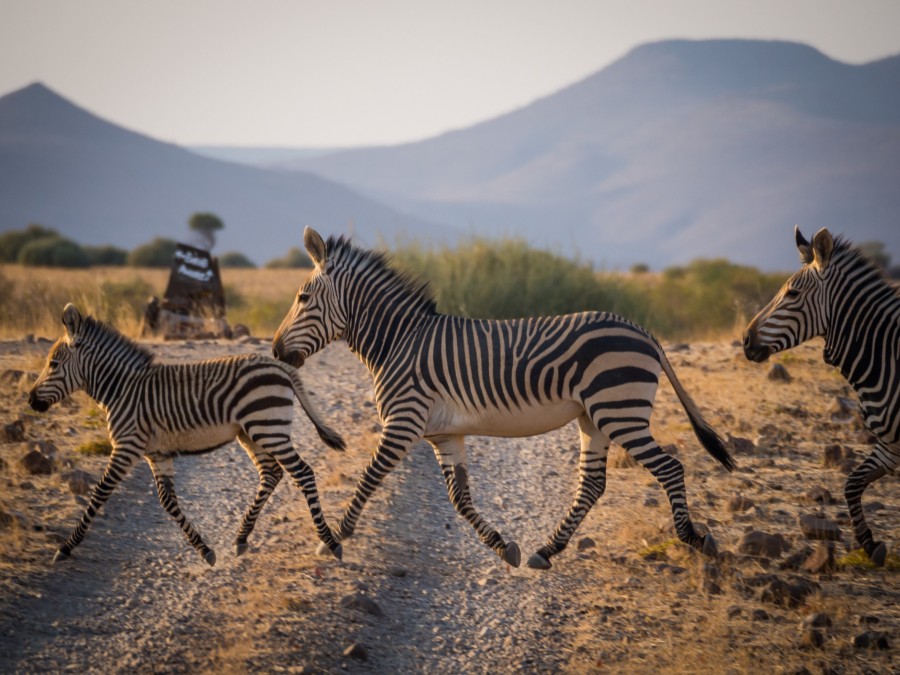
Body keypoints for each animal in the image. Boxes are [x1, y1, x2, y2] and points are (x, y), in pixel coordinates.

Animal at [28, 304, 344, 564]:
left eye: (53, 364)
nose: (31, 401)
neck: (121, 390)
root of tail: (279, 364)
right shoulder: (157, 453)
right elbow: (167, 501)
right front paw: (204, 550)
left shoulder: (126, 447)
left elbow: (99, 493)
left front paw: (66, 547)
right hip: (252, 433)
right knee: (272, 474)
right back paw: (241, 538)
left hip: (269, 429)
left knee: (303, 473)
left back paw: (330, 541)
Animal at [270, 228, 736, 572]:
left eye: (302, 299)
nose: (274, 350)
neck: (397, 342)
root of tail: (642, 331)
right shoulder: (443, 434)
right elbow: (459, 499)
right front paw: (501, 546)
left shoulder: (403, 421)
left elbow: (368, 478)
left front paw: (334, 539)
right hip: (594, 417)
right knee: (592, 483)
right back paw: (546, 551)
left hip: (620, 412)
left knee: (669, 467)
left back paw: (694, 538)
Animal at [744, 230, 900, 568]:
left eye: (792, 294)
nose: (745, 341)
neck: (887, 358)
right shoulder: (890, 444)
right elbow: (852, 484)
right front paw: (870, 545)